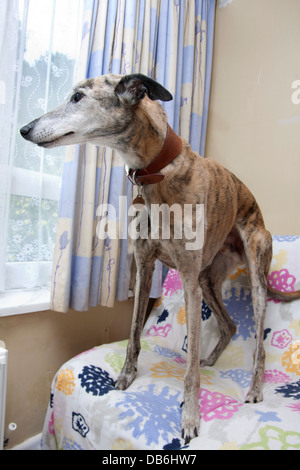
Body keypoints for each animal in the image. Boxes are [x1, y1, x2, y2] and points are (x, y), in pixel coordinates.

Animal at [20, 74, 300, 444]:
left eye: (77, 97)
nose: (24, 129)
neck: (157, 173)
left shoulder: (187, 281)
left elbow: (189, 369)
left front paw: (191, 418)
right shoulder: (146, 268)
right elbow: (135, 334)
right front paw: (125, 377)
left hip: (252, 273)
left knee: (258, 345)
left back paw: (254, 389)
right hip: (208, 279)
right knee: (229, 325)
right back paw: (212, 358)